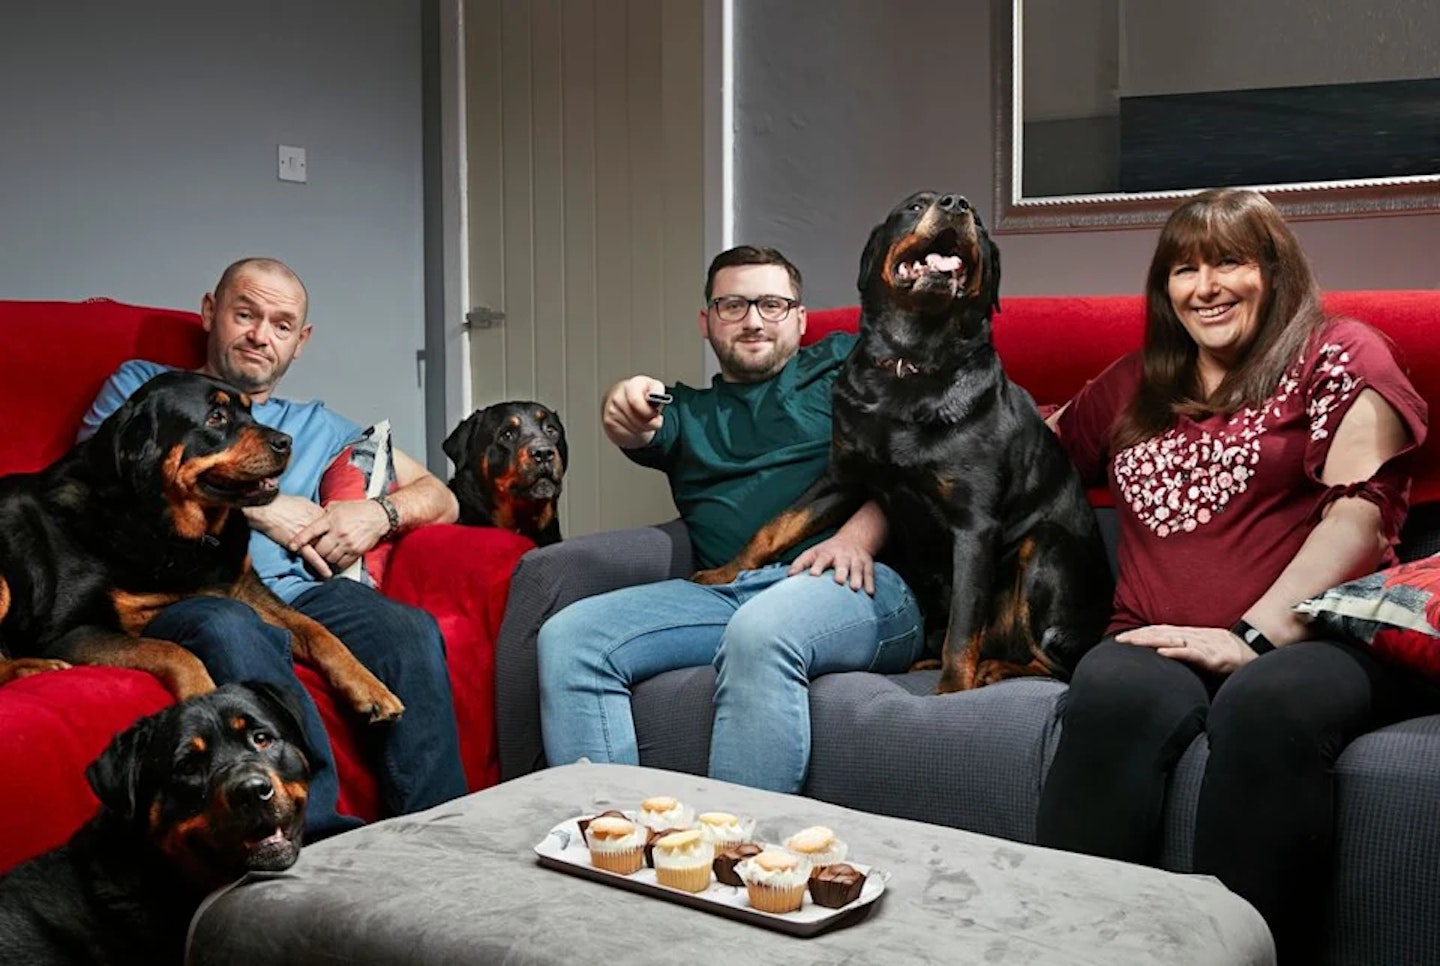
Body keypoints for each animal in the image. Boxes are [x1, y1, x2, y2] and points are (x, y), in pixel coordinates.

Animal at [0, 371, 403, 725]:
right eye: (216, 417)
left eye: (251, 413)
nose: (286, 441)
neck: (170, 529)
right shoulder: (68, 632)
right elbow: (173, 650)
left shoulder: (243, 588)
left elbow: (317, 630)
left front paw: (368, 686)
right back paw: (32, 666)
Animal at [696, 191, 1111, 688]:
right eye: (914, 206)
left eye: (979, 223)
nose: (958, 204)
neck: (909, 362)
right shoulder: (840, 479)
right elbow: (774, 527)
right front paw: (721, 572)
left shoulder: (975, 526)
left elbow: (963, 628)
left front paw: (951, 691)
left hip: (1046, 549)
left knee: (1055, 662)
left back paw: (993, 668)